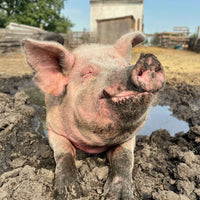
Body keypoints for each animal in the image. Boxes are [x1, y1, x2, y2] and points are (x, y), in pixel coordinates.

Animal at [22, 32, 165, 199]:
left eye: (122, 65)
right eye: (88, 72)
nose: (149, 59)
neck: (94, 144)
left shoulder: (129, 138)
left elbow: (125, 157)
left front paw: (120, 196)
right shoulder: (52, 128)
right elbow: (64, 152)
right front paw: (70, 193)